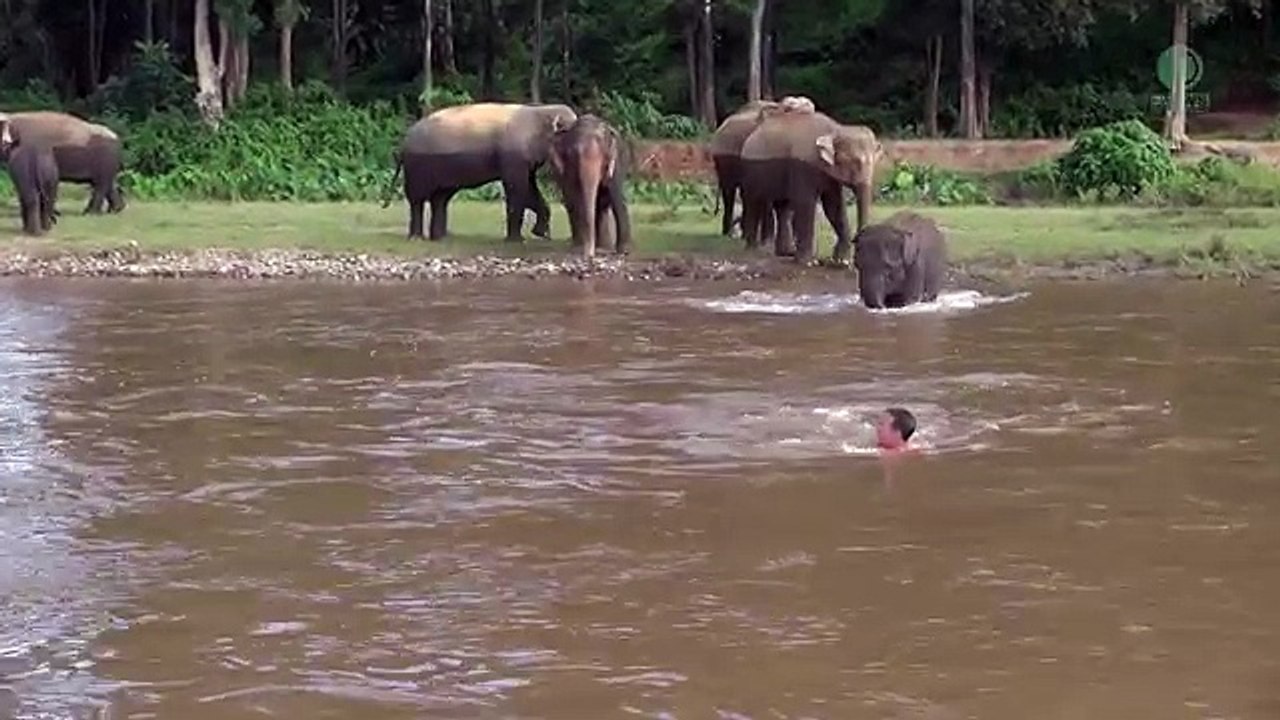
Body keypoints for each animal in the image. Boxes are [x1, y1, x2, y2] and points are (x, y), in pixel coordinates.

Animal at [392, 102, 578, 242]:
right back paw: (417, 238)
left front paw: (541, 234)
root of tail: (404, 142)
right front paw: (517, 240)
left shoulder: (525, 161)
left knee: (440, 199)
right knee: (418, 199)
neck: (542, 110)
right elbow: (516, 189)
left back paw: (440, 238)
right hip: (418, 167)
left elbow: (529, 189)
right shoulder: (512, 156)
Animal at [547, 114, 633, 258]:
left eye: (604, 156)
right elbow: (573, 197)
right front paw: (578, 249)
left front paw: (624, 251)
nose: (589, 255)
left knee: (603, 203)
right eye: (572, 154)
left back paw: (603, 248)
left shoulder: (616, 164)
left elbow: (616, 197)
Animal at [738, 110, 882, 265]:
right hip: (750, 170)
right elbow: (805, 203)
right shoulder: (802, 166)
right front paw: (807, 262)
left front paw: (841, 261)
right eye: (856, 161)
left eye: (875, 161)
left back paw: (786, 252)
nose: (856, 238)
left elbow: (834, 206)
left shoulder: (829, 175)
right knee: (754, 202)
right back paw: (752, 250)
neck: (835, 129)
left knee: (783, 207)